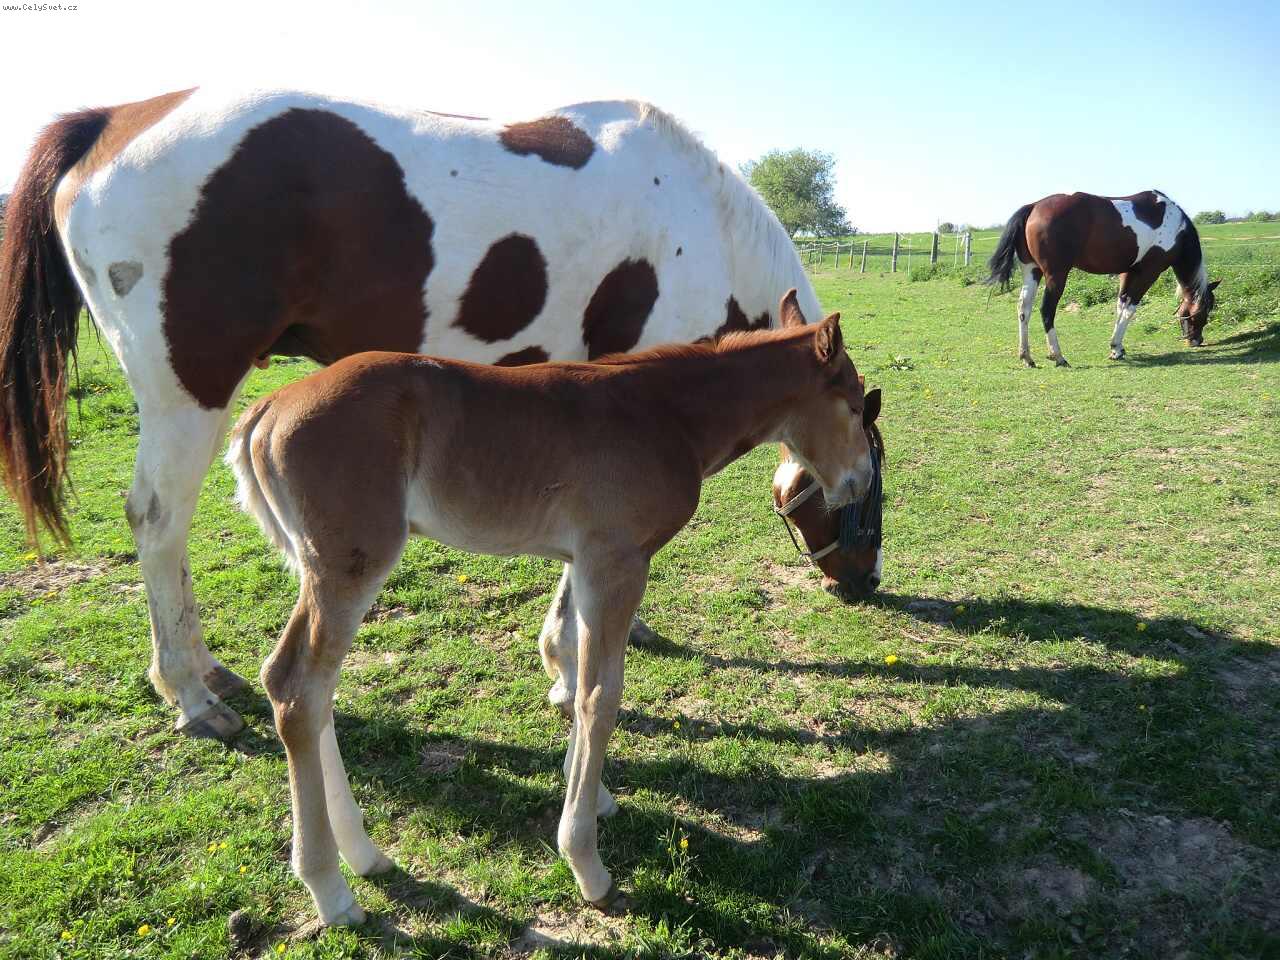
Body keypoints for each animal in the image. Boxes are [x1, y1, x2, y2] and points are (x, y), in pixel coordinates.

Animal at [0, 88, 883, 742]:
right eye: (871, 489)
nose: (863, 583)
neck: (699, 219)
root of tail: (112, 121)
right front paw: (566, 663)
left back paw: (205, 670)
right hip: (189, 391)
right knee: (158, 520)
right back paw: (189, 692)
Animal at [224, 292, 878, 923]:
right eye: (853, 405)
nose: (857, 483)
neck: (665, 413)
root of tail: (266, 409)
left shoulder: (584, 560)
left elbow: (563, 651)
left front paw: (592, 793)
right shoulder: (618, 563)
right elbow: (599, 695)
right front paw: (586, 863)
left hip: (317, 570)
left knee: (311, 690)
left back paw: (363, 854)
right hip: (349, 569)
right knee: (295, 688)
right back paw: (330, 888)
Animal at [986, 190, 1219, 366]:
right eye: (1205, 312)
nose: (1197, 340)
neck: (1176, 226)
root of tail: (1034, 206)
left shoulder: (1128, 272)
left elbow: (1121, 305)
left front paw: (1118, 347)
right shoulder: (1148, 273)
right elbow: (1130, 309)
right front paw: (1115, 348)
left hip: (1032, 271)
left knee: (1023, 309)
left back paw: (1027, 356)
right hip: (1056, 275)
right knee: (1046, 310)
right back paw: (1058, 356)